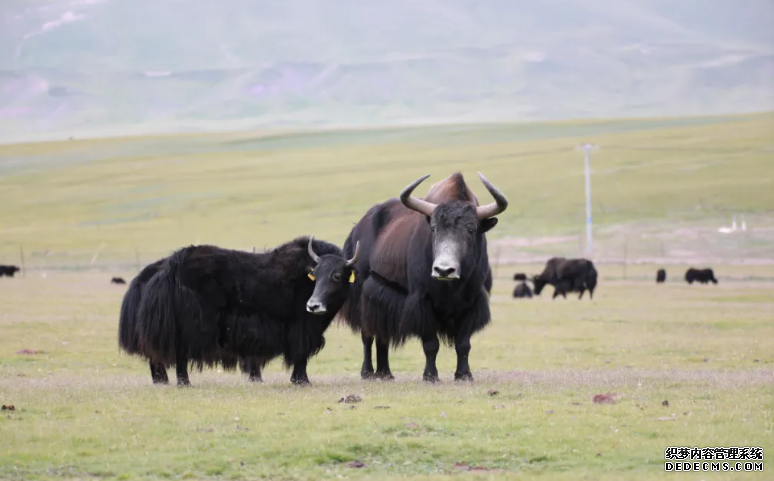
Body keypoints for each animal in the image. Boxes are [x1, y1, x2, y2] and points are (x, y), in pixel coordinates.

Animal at [125, 237, 360, 386]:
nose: (313, 306)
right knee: (180, 352)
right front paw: (302, 381)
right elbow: (301, 353)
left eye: (336, 275)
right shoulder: (302, 326)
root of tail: (171, 266)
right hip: (190, 325)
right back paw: (184, 383)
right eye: (315, 275)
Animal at [340, 171, 510, 380]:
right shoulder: (422, 301)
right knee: (368, 334)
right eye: (434, 228)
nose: (444, 270)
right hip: (363, 293)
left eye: (471, 229)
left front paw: (464, 375)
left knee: (382, 335)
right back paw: (368, 372)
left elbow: (463, 344)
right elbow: (431, 344)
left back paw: (386, 373)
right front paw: (430, 376)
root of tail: (357, 227)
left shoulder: (472, 303)